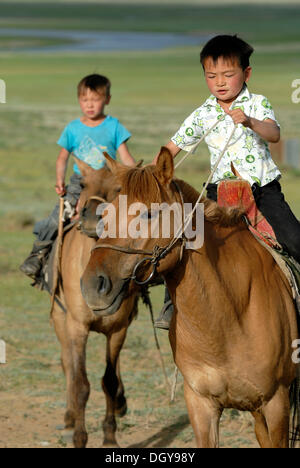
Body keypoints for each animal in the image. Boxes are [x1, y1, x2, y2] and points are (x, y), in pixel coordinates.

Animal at [51, 159, 139, 448]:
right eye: (83, 183)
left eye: (119, 187)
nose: (92, 218)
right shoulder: (78, 327)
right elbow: (80, 383)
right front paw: (79, 436)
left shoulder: (118, 330)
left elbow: (108, 381)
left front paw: (110, 436)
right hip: (60, 319)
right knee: (67, 363)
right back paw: (69, 417)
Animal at [81, 148, 298, 448]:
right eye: (106, 214)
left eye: (149, 215)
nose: (92, 285)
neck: (227, 315)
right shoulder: (201, 404)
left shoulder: (276, 402)